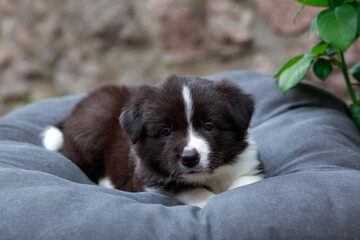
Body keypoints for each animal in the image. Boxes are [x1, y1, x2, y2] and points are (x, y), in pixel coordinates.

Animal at [41, 75, 264, 208]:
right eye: (166, 131)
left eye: (209, 126)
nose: (189, 158)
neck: (208, 176)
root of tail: (72, 114)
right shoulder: (150, 178)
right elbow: (190, 190)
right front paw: (209, 199)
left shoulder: (249, 164)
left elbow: (244, 183)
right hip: (94, 124)